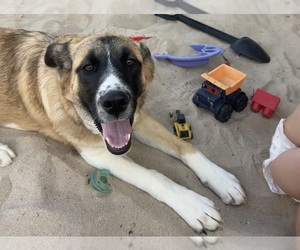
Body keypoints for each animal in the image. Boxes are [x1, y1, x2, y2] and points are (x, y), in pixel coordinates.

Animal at [0, 27, 246, 232]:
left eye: (130, 62)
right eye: (88, 68)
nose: (115, 102)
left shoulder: (138, 119)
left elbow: (183, 145)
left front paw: (219, 178)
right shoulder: (96, 153)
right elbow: (153, 175)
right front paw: (191, 204)